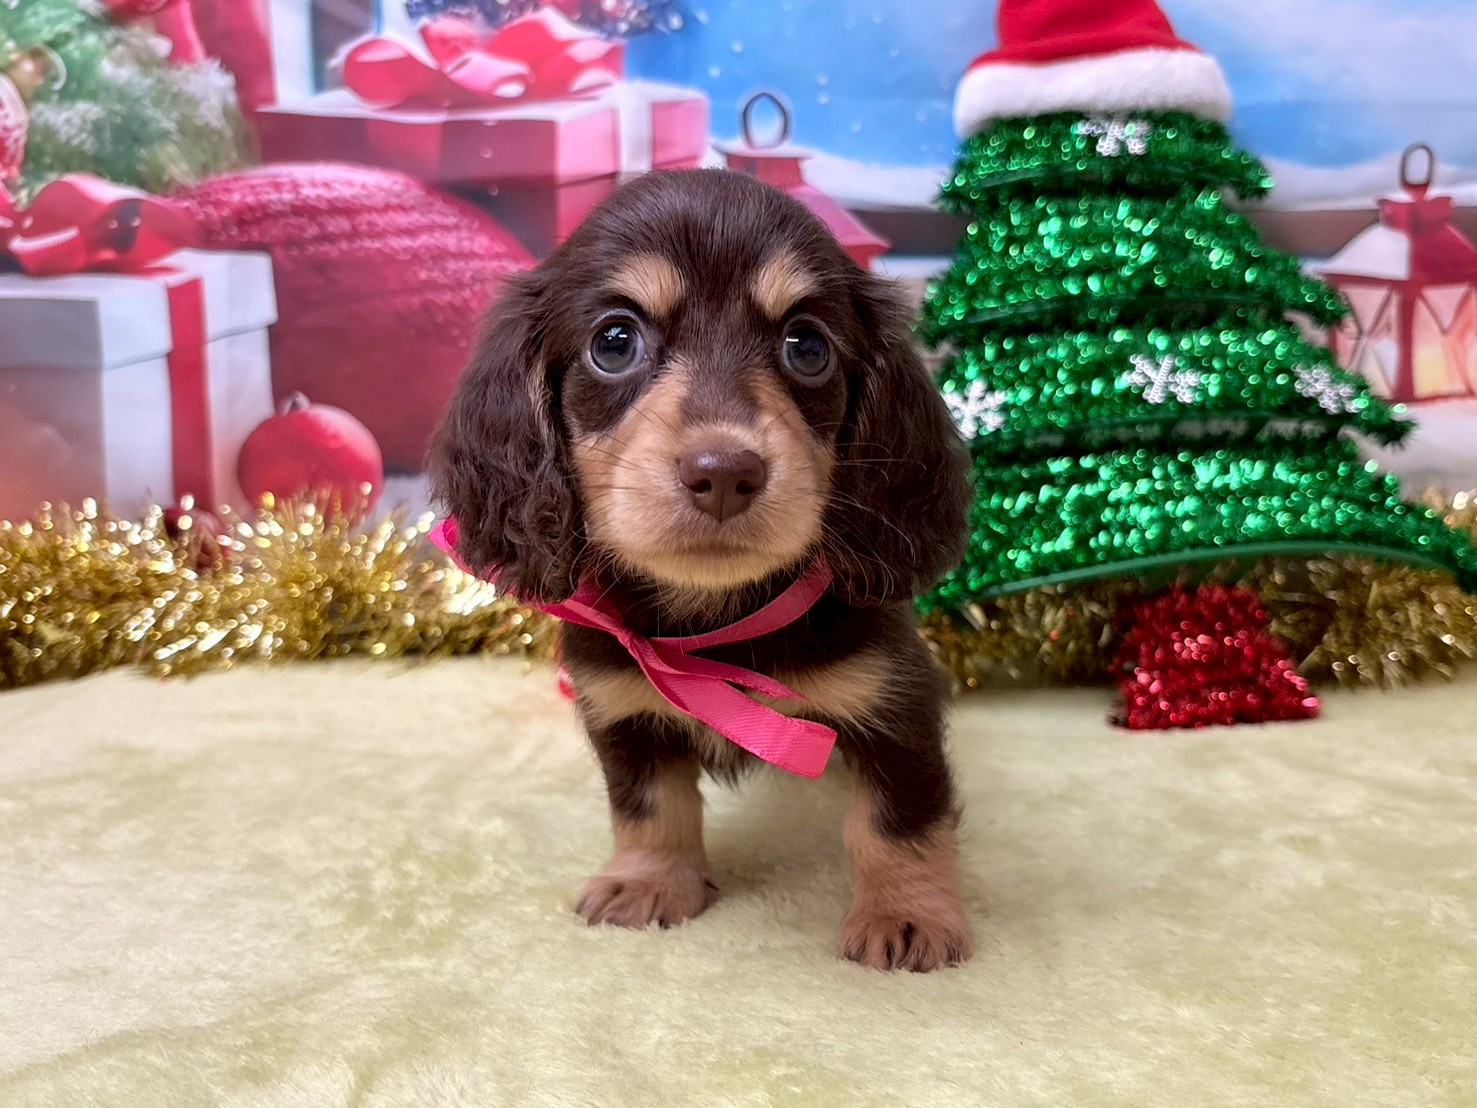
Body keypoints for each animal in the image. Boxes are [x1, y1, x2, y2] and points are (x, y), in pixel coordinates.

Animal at [429, 169, 974, 972]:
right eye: (614, 342)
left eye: (806, 346)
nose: (724, 473)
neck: (716, 619)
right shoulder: (619, 705)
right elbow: (651, 807)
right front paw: (649, 882)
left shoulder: (893, 704)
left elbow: (897, 820)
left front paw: (907, 916)